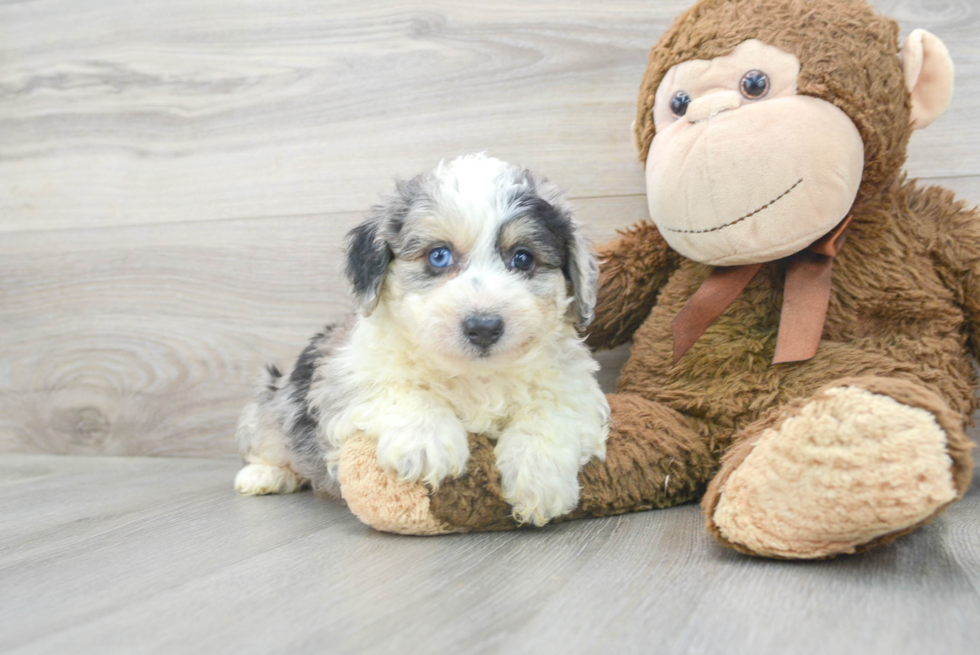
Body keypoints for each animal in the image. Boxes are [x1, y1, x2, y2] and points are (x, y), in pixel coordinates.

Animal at [234, 154, 608, 528]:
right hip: (275, 399)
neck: (475, 376)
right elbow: (396, 388)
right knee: (269, 442)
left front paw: (539, 477)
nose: (483, 326)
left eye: (523, 258)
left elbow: (550, 413)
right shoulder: (345, 372)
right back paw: (264, 475)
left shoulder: (571, 386)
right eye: (438, 256)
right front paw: (427, 441)